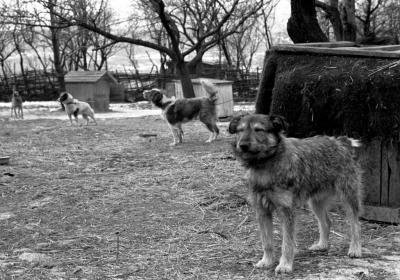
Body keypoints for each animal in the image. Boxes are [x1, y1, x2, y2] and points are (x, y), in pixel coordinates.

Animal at [228, 113, 362, 274]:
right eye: (240, 130)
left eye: (258, 129)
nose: (242, 145)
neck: (265, 165)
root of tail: (340, 141)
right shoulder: (262, 211)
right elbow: (266, 242)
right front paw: (267, 261)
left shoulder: (287, 211)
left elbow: (287, 243)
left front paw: (285, 265)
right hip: (315, 202)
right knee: (327, 222)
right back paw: (322, 245)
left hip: (348, 197)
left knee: (355, 224)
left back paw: (355, 249)